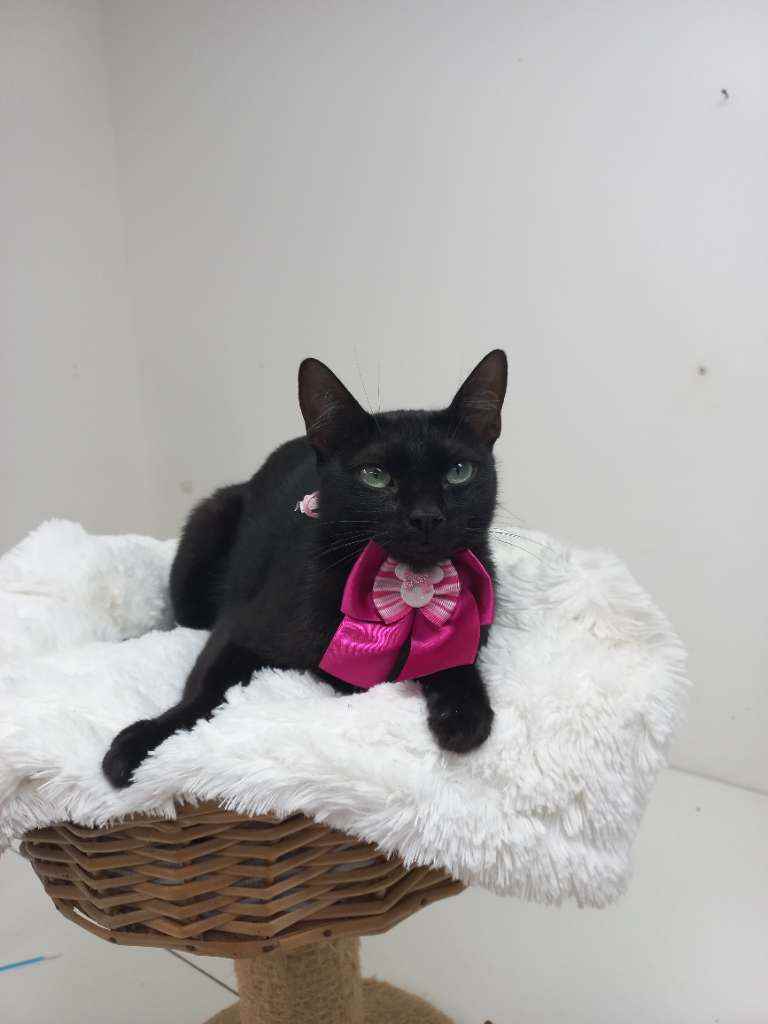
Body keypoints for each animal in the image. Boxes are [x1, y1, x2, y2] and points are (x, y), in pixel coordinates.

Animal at [102, 349, 507, 789]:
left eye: (458, 472)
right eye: (375, 476)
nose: (426, 516)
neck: (404, 590)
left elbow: (457, 664)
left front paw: (464, 713)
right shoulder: (239, 627)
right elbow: (203, 689)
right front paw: (143, 741)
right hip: (206, 528)